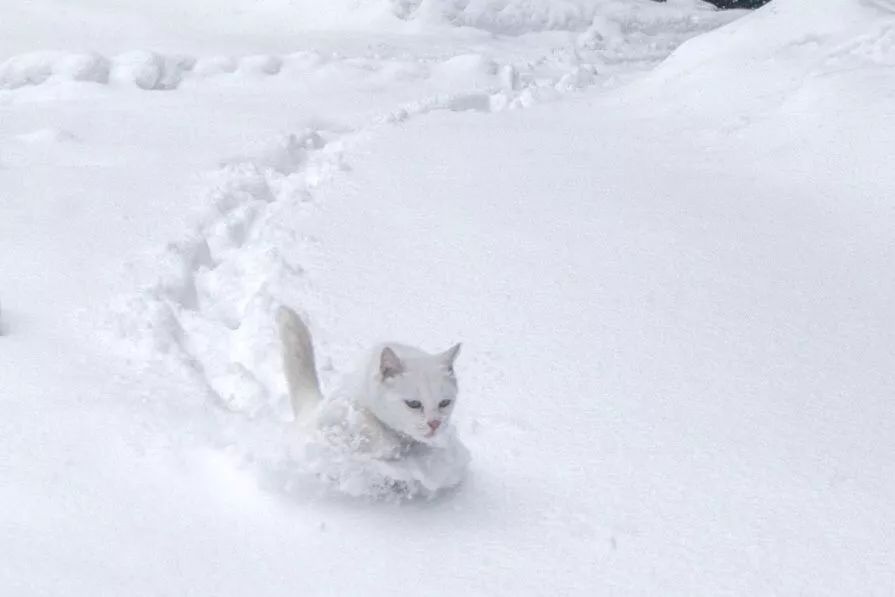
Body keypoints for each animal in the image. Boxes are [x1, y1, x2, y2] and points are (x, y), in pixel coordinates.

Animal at [278, 304, 462, 458]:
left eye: (444, 403)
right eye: (414, 404)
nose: (435, 423)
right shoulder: (342, 409)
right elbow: (369, 425)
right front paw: (387, 444)